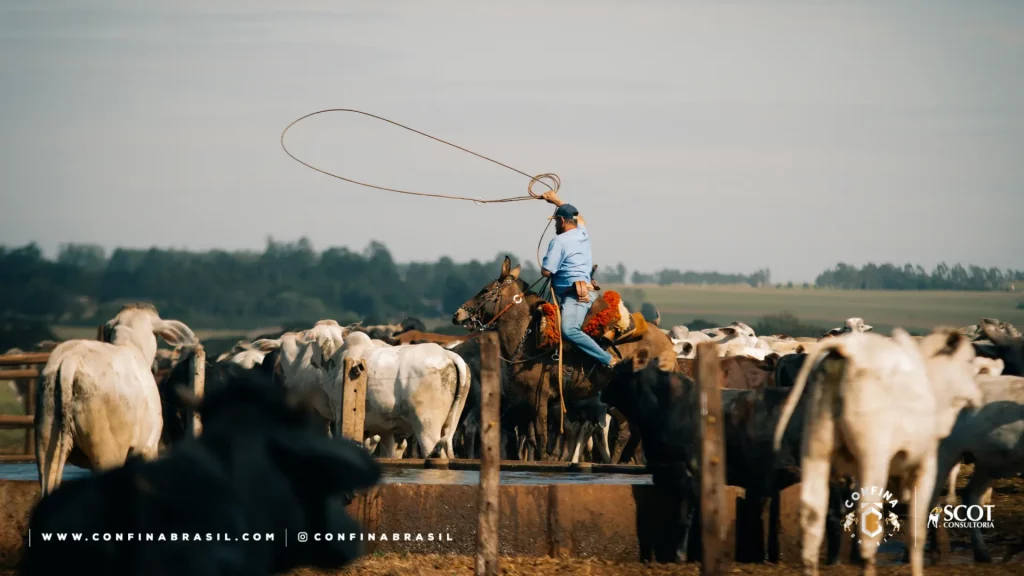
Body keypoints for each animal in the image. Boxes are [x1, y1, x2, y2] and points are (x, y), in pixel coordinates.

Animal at [774, 327, 983, 573]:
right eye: (968, 361)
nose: (977, 398)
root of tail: (847, 348)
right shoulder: (925, 465)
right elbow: (917, 532)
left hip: (816, 454)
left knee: (812, 528)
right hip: (873, 460)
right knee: (868, 530)